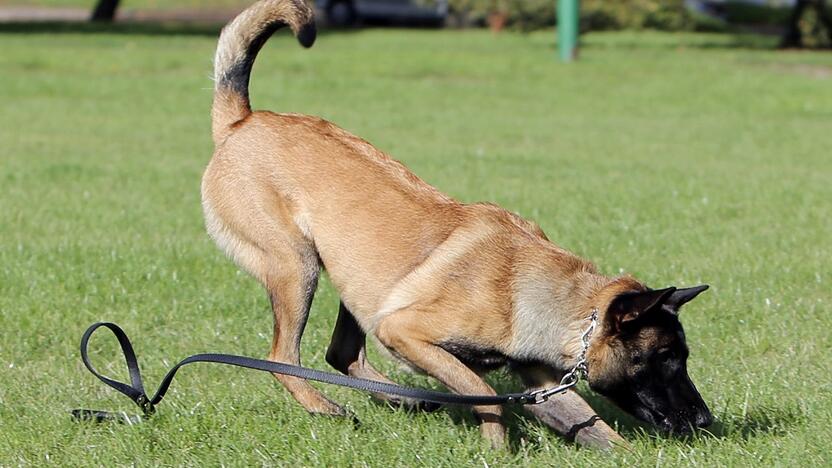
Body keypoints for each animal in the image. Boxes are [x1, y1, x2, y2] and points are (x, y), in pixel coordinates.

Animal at [202, 0, 716, 448]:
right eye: (665, 357)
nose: (704, 420)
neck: (543, 297)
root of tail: (242, 122)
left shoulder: (540, 382)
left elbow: (596, 430)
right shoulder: (405, 331)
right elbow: (486, 393)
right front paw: (495, 448)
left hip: (356, 281)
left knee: (340, 354)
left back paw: (402, 399)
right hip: (298, 266)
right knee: (282, 357)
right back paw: (327, 407)